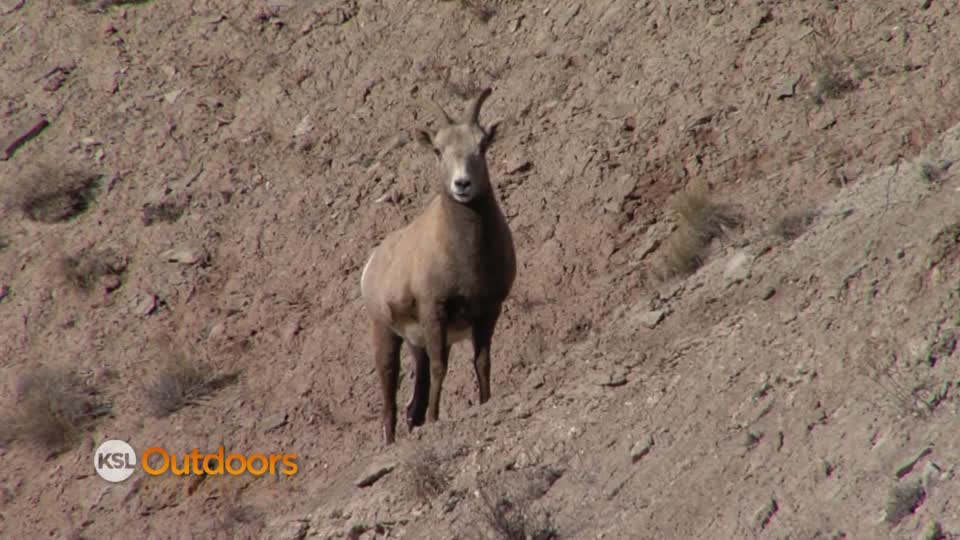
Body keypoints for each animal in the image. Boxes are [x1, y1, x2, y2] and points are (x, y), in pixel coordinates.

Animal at [360, 87, 516, 445]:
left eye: (481, 146)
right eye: (437, 150)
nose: (462, 184)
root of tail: (371, 265)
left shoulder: (489, 311)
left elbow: (482, 362)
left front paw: (485, 402)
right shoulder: (435, 313)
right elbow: (441, 367)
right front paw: (435, 421)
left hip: (415, 343)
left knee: (411, 404)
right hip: (384, 334)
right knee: (389, 400)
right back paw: (391, 442)